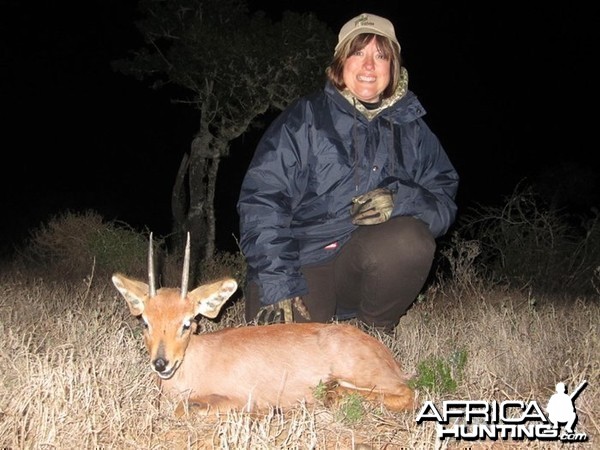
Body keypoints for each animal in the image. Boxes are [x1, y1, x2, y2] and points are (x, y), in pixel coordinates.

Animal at [111, 234, 412, 416]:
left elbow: (186, 408)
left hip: (363, 375)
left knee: (407, 393)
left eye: (188, 323)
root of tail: (389, 358)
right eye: (145, 322)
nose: (161, 364)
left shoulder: (237, 397)